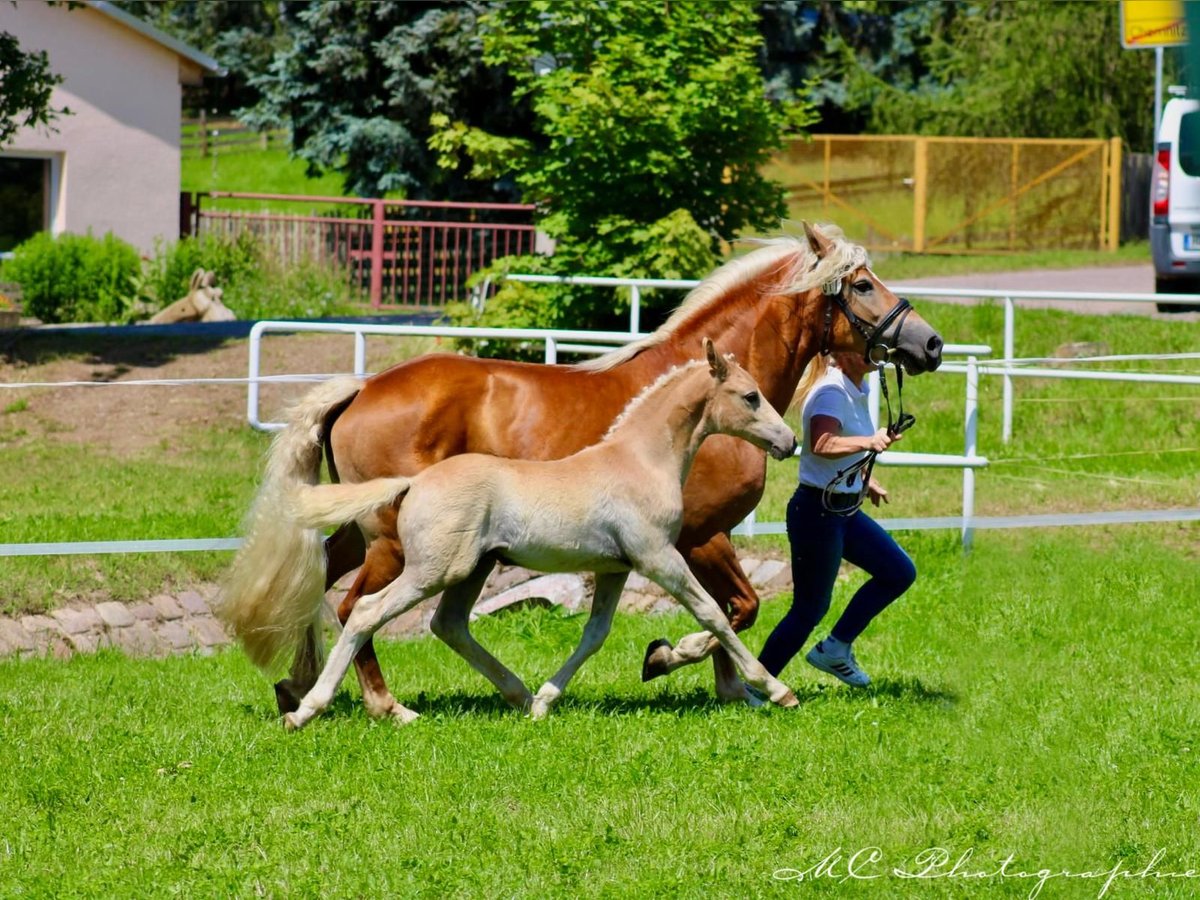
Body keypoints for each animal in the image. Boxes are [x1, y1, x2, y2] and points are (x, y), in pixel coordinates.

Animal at [279, 340, 801, 729]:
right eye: (750, 396)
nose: (789, 442)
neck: (640, 461)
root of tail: (414, 483)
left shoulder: (615, 569)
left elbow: (595, 634)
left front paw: (549, 698)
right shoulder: (659, 557)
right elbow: (714, 613)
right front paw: (775, 689)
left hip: (473, 568)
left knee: (447, 624)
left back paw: (520, 696)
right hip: (434, 568)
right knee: (365, 611)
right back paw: (315, 710)